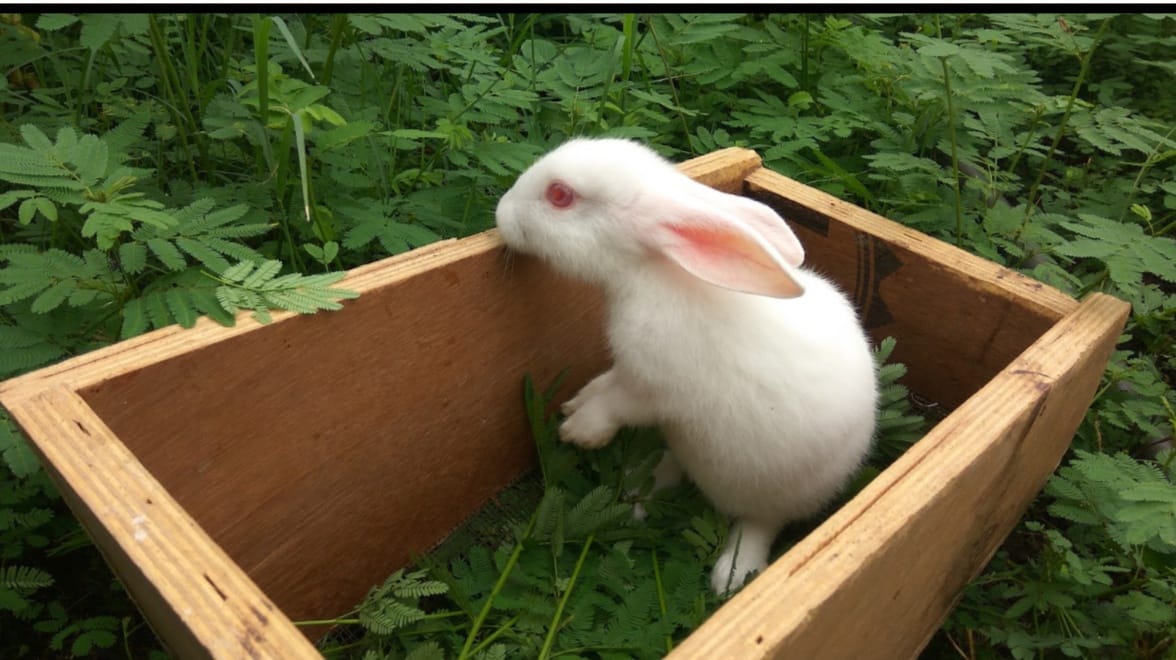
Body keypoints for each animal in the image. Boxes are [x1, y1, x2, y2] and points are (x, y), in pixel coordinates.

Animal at [495, 137, 878, 594]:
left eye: (559, 195)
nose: (501, 211)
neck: (654, 271)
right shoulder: (629, 370)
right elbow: (608, 385)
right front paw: (576, 402)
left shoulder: (656, 389)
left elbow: (618, 406)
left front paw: (579, 431)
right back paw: (638, 492)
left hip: (771, 495)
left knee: (759, 525)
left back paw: (730, 577)